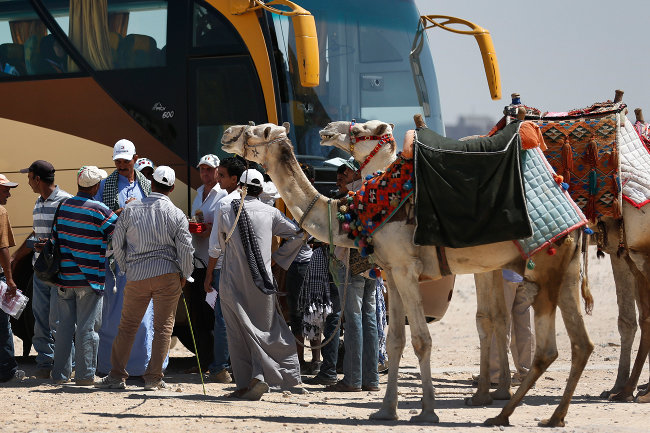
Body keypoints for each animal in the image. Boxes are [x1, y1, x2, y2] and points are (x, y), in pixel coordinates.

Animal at [221, 119, 592, 426]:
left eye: (257, 131)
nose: (228, 132)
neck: (362, 211)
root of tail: (574, 211)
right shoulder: (391, 272)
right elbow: (395, 340)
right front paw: (386, 410)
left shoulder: (405, 268)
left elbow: (421, 340)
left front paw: (427, 411)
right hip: (565, 267)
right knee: (580, 343)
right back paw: (551, 416)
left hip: (543, 268)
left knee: (548, 348)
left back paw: (502, 414)